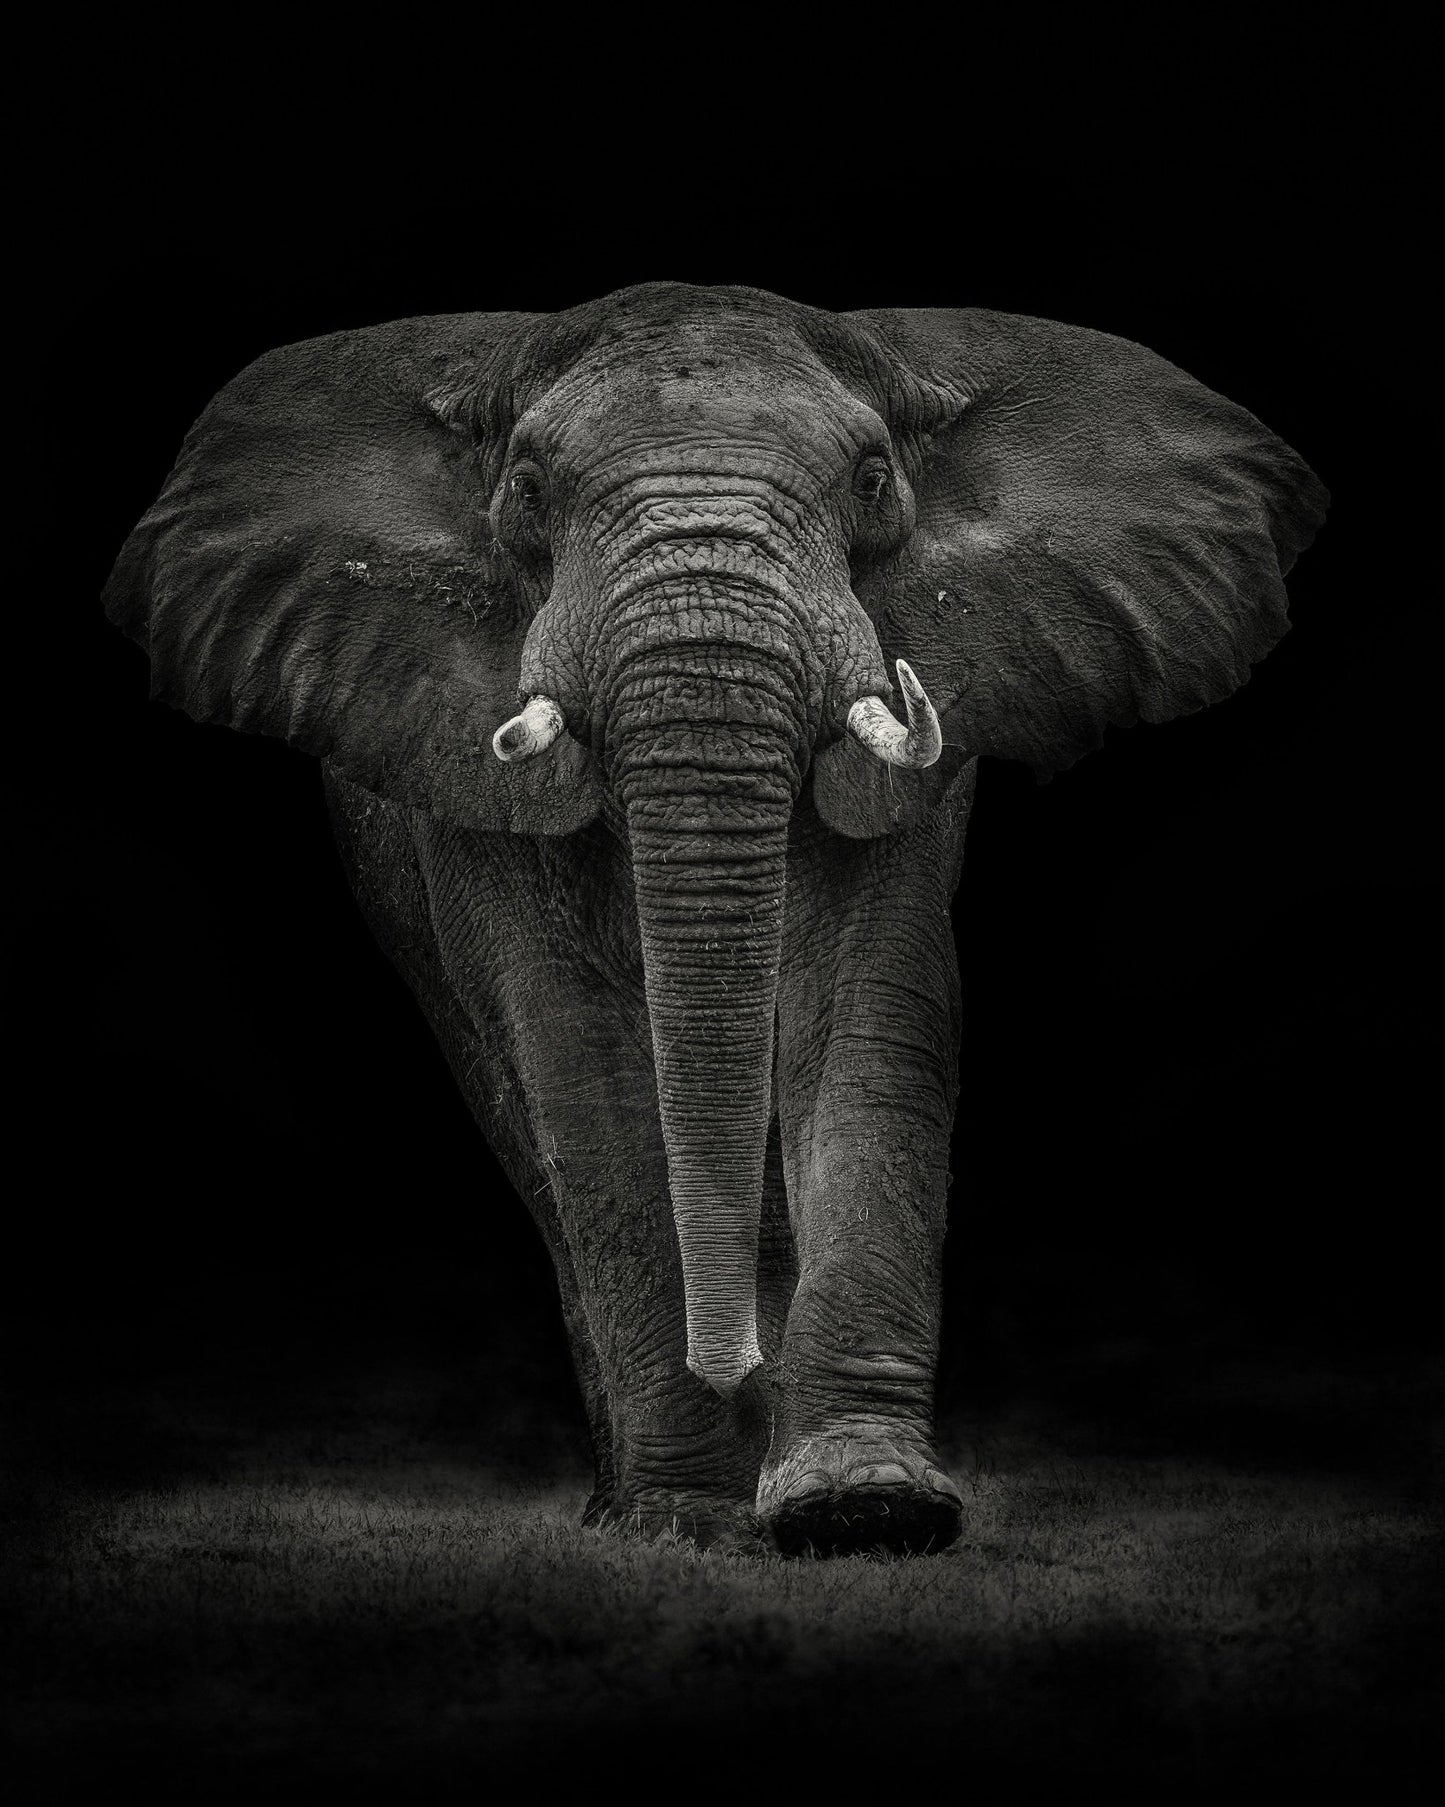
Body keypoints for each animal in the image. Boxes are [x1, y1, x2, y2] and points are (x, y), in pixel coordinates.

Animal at [104, 282, 1326, 1556]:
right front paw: (686, 1520)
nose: (727, 1358)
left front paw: (864, 1508)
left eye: (873, 478)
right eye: (526, 486)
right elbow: (578, 1062)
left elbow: (866, 1013)